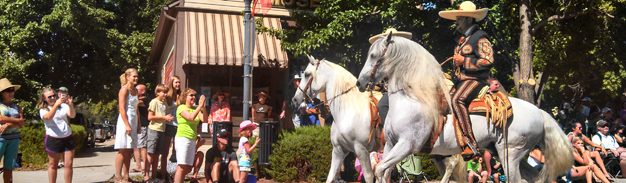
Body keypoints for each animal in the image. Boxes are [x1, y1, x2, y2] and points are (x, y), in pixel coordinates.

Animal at [356, 33, 572, 183]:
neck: (411, 99)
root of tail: (540, 113)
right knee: (534, 177)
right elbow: (382, 171)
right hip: (500, 151)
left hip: (510, 154)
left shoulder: (407, 145)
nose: (360, 83)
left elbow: (380, 169)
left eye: (374, 55)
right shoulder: (391, 145)